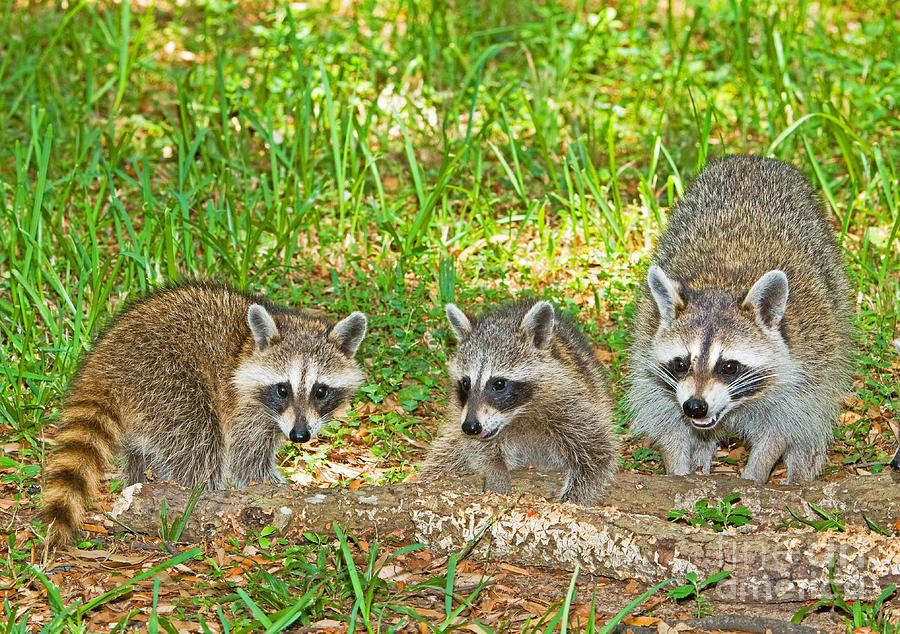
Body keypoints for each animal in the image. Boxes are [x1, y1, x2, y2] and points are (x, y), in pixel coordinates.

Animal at [42, 280, 366, 544]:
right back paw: (204, 493)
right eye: (282, 389)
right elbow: (246, 459)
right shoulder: (242, 403)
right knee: (199, 438)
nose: (300, 435)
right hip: (167, 379)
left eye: (321, 391)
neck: (247, 347)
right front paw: (272, 486)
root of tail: (104, 366)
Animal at [422, 298, 620, 504]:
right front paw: (495, 472)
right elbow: (477, 450)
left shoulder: (574, 404)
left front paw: (571, 499)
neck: (518, 415)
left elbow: (597, 456)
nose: (470, 427)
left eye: (499, 384)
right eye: (466, 383)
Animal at [624, 156, 852, 482]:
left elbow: (780, 430)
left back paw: (801, 470)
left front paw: (755, 475)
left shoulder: (805, 367)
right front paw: (678, 471)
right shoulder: (647, 349)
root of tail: (755, 158)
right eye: (680, 364)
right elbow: (668, 423)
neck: (723, 284)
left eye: (729, 367)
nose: (695, 407)